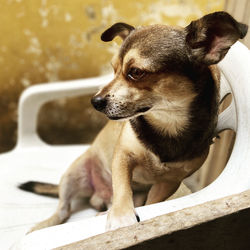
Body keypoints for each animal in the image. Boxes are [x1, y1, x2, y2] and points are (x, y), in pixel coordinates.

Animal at [19, 10, 246, 231]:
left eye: (136, 72)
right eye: (113, 69)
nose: (95, 101)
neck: (168, 122)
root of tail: (98, 195)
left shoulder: (169, 182)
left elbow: (152, 203)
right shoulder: (123, 156)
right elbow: (121, 189)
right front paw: (121, 216)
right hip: (72, 175)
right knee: (63, 210)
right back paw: (44, 225)